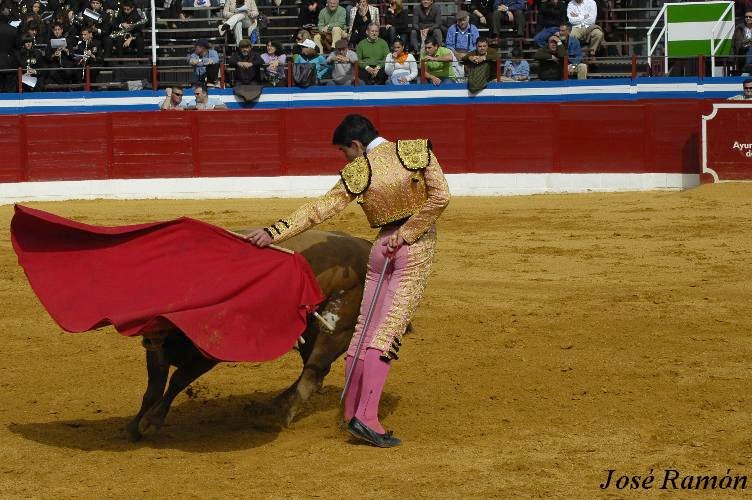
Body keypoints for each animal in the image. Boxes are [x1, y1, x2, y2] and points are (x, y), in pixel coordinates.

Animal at [127, 230, 374, 442]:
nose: (148, 336)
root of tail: (365, 246)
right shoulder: (159, 351)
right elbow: (154, 387)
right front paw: (134, 426)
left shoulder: (207, 356)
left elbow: (178, 379)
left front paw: (151, 422)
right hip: (311, 331)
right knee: (314, 370)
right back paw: (273, 405)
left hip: (336, 328)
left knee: (314, 371)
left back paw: (280, 413)